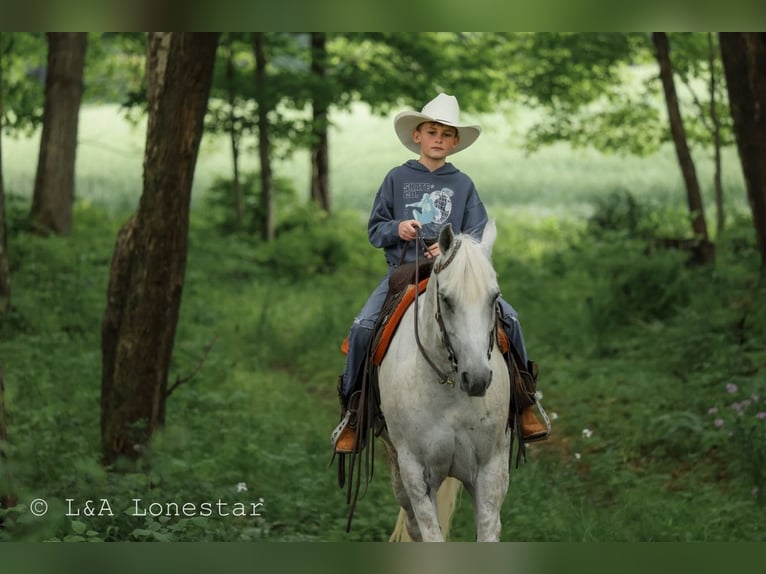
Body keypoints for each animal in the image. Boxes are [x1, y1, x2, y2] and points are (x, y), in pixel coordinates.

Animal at [378, 219, 511, 542]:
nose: (477, 378)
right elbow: (428, 531)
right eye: (447, 300)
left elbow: (489, 531)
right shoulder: (415, 471)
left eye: (494, 297)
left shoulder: (490, 469)